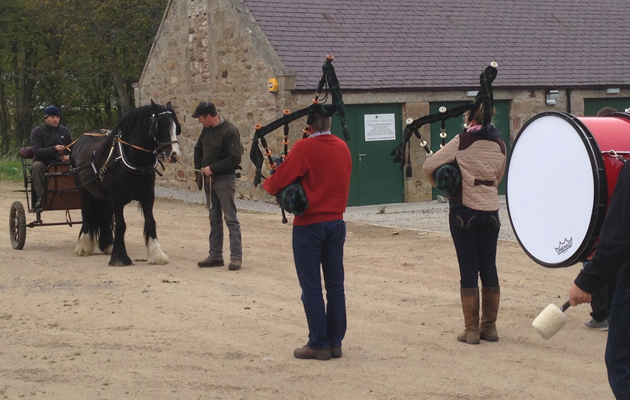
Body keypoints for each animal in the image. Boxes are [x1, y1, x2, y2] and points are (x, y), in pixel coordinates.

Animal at [71, 101, 181, 266]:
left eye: (176, 126)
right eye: (160, 125)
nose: (174, 154)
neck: (135, 161)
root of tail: (80, 140)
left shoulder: (148, 196)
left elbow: (150, 222)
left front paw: (156, 254)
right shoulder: (117, 198)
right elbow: (121, 225)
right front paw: (120, 257)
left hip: (103, 196)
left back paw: (107, 244)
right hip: (84, 190)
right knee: (87, 213)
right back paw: (83, 245)